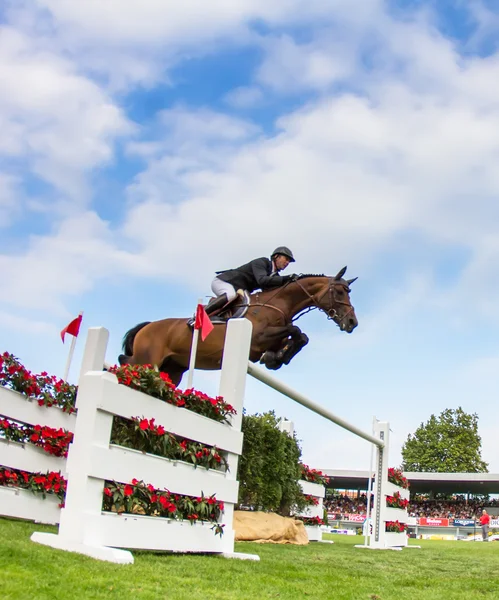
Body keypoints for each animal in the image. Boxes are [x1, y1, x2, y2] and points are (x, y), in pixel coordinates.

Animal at [117, 266, 360, 386]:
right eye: (340, 292)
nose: (352, 323)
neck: (280, 303)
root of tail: (147, 327)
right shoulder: (258, 338)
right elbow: (296, 331)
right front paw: (276, 358)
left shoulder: (272, 339)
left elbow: (300, 338)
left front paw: (277, 358)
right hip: (147, 360)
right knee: (125, 362)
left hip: (172, 369)